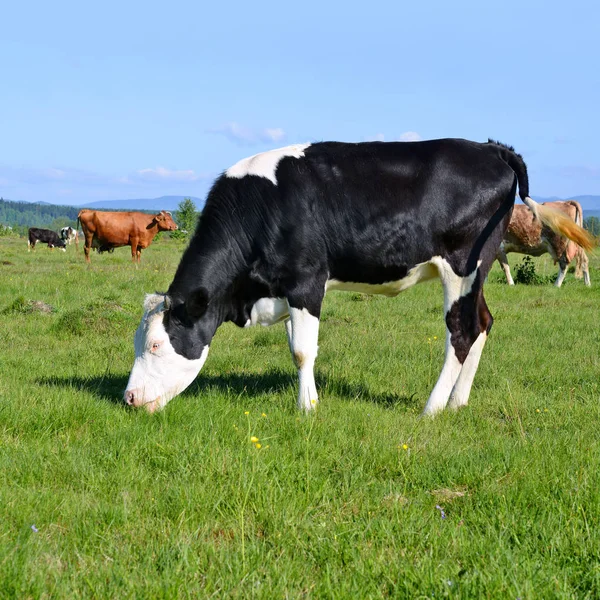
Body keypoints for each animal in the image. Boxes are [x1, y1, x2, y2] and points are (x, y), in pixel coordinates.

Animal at [124, 138, 592, 414]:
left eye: (156, 344)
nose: (128, 398)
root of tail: (490, 147)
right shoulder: (284, 290)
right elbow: (295, 347)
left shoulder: (306, 281)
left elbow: (302, 351)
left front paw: (308, 409)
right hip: (481, 268)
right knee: (482, 324)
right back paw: (458, 403)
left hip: (463, 264)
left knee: (461, 331)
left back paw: (432, 408)